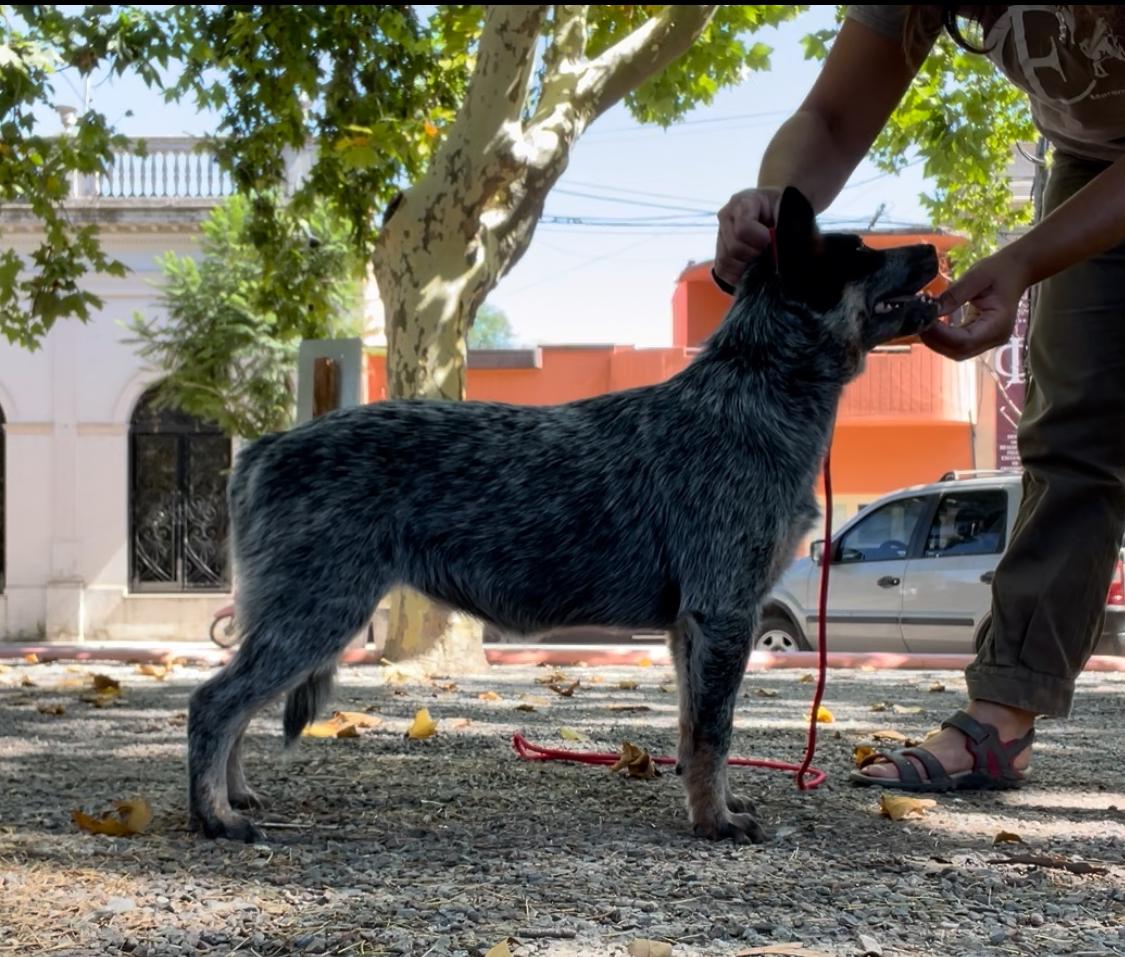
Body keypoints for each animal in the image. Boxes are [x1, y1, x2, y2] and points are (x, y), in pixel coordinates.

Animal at [188, 186, 939, 844]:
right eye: (859, 252)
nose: (932, 247)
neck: (753, 388)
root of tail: (263, 448)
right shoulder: (725, 615)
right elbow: (713, 734)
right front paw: (714, 821)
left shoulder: (692, 630)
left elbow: (693, 734)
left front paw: (710, 806)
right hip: (318, 615)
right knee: (213, 704)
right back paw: (214, 815)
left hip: (302, 617)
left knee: (235, 707)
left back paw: (235, 793)